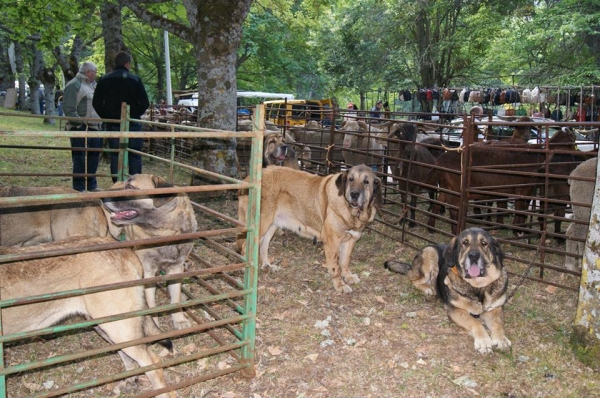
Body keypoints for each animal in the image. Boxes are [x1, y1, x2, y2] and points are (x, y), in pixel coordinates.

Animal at [101, 174, 197, 330]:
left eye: (131, 187)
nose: (101, 195)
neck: (165, 232)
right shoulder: (148, 272)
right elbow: (151, 303)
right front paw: (154, 324)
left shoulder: (177, 268)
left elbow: (176, 297)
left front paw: (179, 320)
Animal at [238, 164, 382, 292]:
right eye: (350, 179)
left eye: (366, 182)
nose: (354, 194)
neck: (352, 212)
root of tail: (247, 179)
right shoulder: (332, 242)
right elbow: (335, 267)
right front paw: (340, 286)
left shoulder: (350, 240)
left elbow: (345, 262)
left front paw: (348, 276)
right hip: (262, 224)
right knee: (246, 247)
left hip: (272, 224)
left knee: (263, 245)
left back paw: (268, 266)